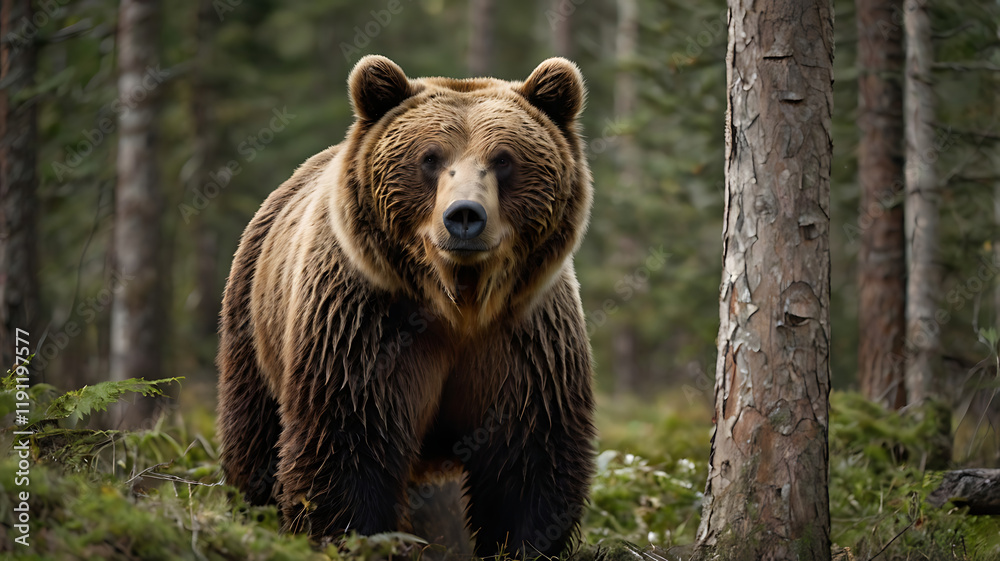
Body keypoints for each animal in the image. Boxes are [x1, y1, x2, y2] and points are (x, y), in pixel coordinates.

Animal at [216, 55, 595, 559]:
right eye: (430, 158)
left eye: (503, 159)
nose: (465, 216)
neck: (459, 302)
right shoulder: (366, 322)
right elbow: (349, 442)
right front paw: (352, 537)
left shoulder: (526, 340)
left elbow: (528, 459)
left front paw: (523, 543)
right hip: (254, 323)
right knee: (253, 437)